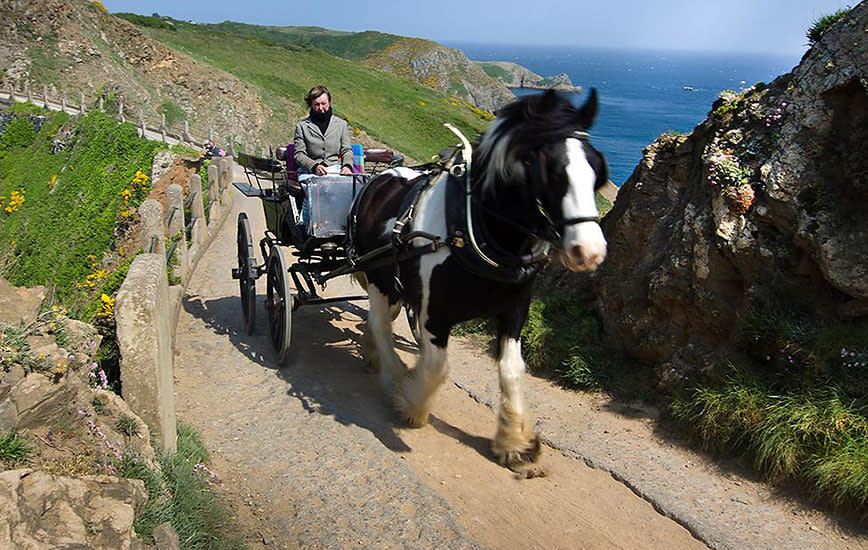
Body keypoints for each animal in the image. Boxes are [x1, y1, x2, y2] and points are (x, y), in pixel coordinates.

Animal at [350, 88, 608, 468]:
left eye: (598, 172)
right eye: (552, 172)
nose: (590, 251)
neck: (474, 228)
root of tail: (379, 178)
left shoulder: (514, 309)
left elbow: (512, 369)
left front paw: (515, 441)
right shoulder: (435, 313)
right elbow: (437, 367)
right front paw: (412, 403)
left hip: (395, 285)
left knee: (380, 320)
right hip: (379, 278)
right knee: (381, 324)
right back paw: (394, 376)